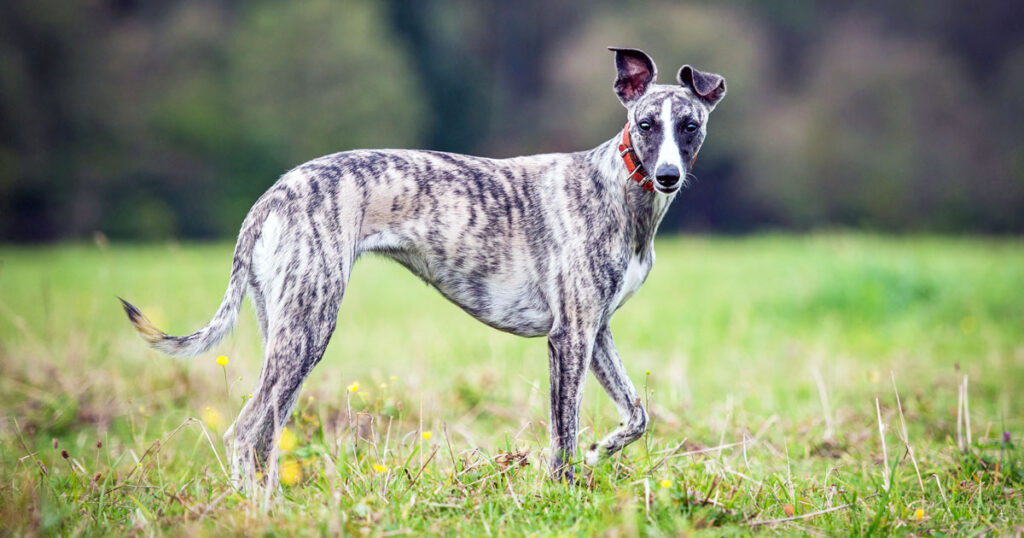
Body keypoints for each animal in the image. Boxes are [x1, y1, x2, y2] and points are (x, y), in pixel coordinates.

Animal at [121, 47, 729, 485]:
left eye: (689, 125)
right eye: (646, 124)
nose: (669, 176)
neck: (619, 189)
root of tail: (271, 196)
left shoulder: (597, 331)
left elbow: (638, 414)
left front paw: (605, 449)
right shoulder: (570, 337)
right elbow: (563, 437)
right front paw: (564, 493)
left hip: (285, 329)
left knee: (267, 435)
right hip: (309, 328)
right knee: (246, 433)